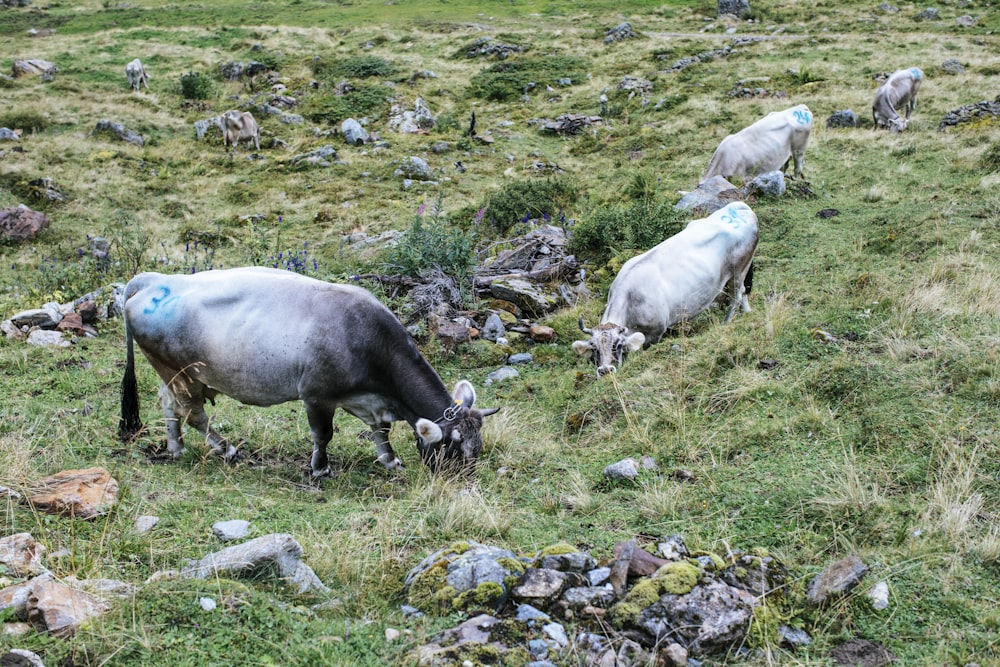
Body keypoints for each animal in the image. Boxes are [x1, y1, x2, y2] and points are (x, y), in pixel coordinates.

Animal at [119, 266, 498, 474]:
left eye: (478, 447)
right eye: (454, 448)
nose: (464, 481)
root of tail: (154, 280)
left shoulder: (368, 400)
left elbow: (381, 431)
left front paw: (389, 459)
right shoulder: (317, 395)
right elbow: (323, 434)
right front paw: (320, 468)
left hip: (173, 374)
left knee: (169, 404)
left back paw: (176, 448)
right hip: (181, 372)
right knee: (193, 413)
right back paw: (226, 449)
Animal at [572, 201, 756, 378]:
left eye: (616, 345)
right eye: (594, 348)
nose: (605, 371)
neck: (630, 299)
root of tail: (740, 207)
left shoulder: (656, 333)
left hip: (739, 270)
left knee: (736, 296)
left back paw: (726, 322)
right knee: (744, 292)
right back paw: (747, 311)